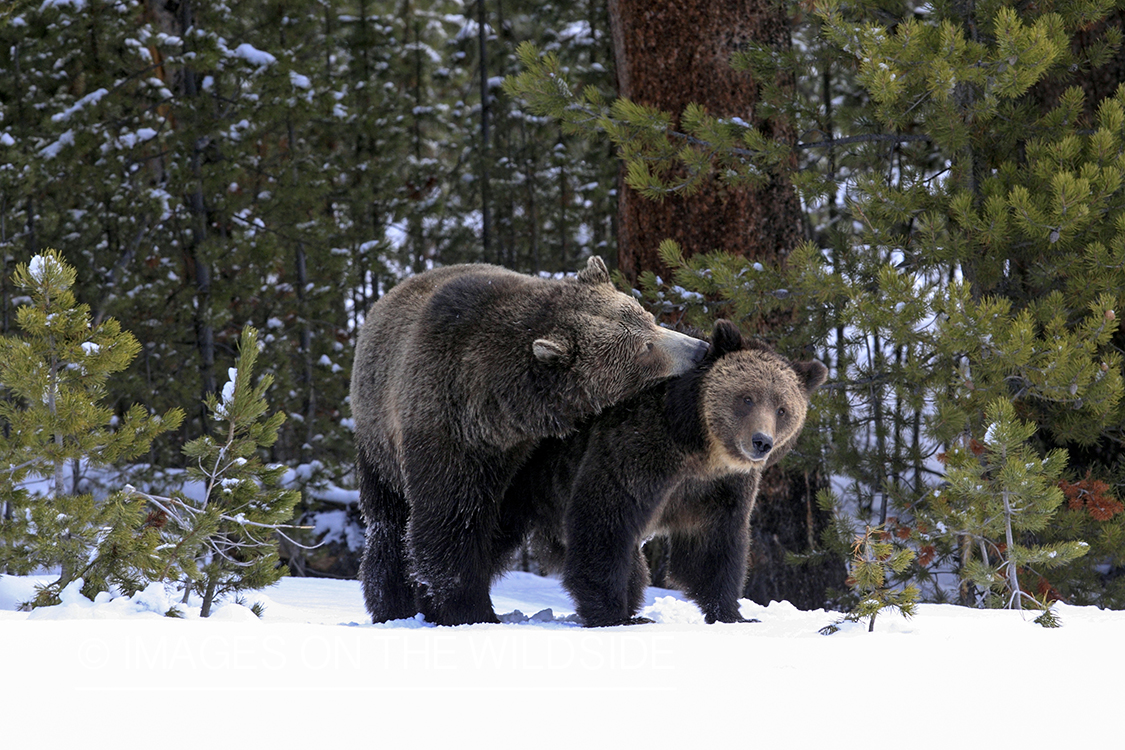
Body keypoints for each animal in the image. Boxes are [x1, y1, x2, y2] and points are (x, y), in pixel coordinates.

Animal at [350, 256, 710, 626]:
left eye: (648, 318)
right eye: (644, 349)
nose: (700, 349)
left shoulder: (538, 452)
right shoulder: (449, 427)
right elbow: (451, 520)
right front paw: (467, 608)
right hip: (378, 442)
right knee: (388, 524)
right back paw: (392, 604)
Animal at [503, 319, 828, 626]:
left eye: (782, 409)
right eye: (747, 398)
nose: (761, 441)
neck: (698, 446)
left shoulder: (717, 488)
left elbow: (712, 546)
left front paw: (732, 614)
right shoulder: (638, 450)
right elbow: (605, 520)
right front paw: (612, 615)